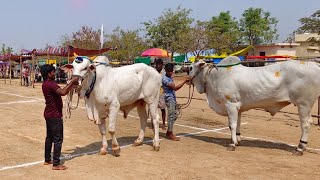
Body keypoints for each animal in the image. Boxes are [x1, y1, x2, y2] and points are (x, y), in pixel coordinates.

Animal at [189, 56, 320, 155]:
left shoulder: (231, 104)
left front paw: (232, 144)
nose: (186, 73)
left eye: (190, 67)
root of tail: (314, 65)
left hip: (304, 104)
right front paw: (237, 140)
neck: (213, 77)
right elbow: (238, 123)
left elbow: (232, 125)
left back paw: (300, 148)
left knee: (306, 124)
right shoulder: (238, 108)